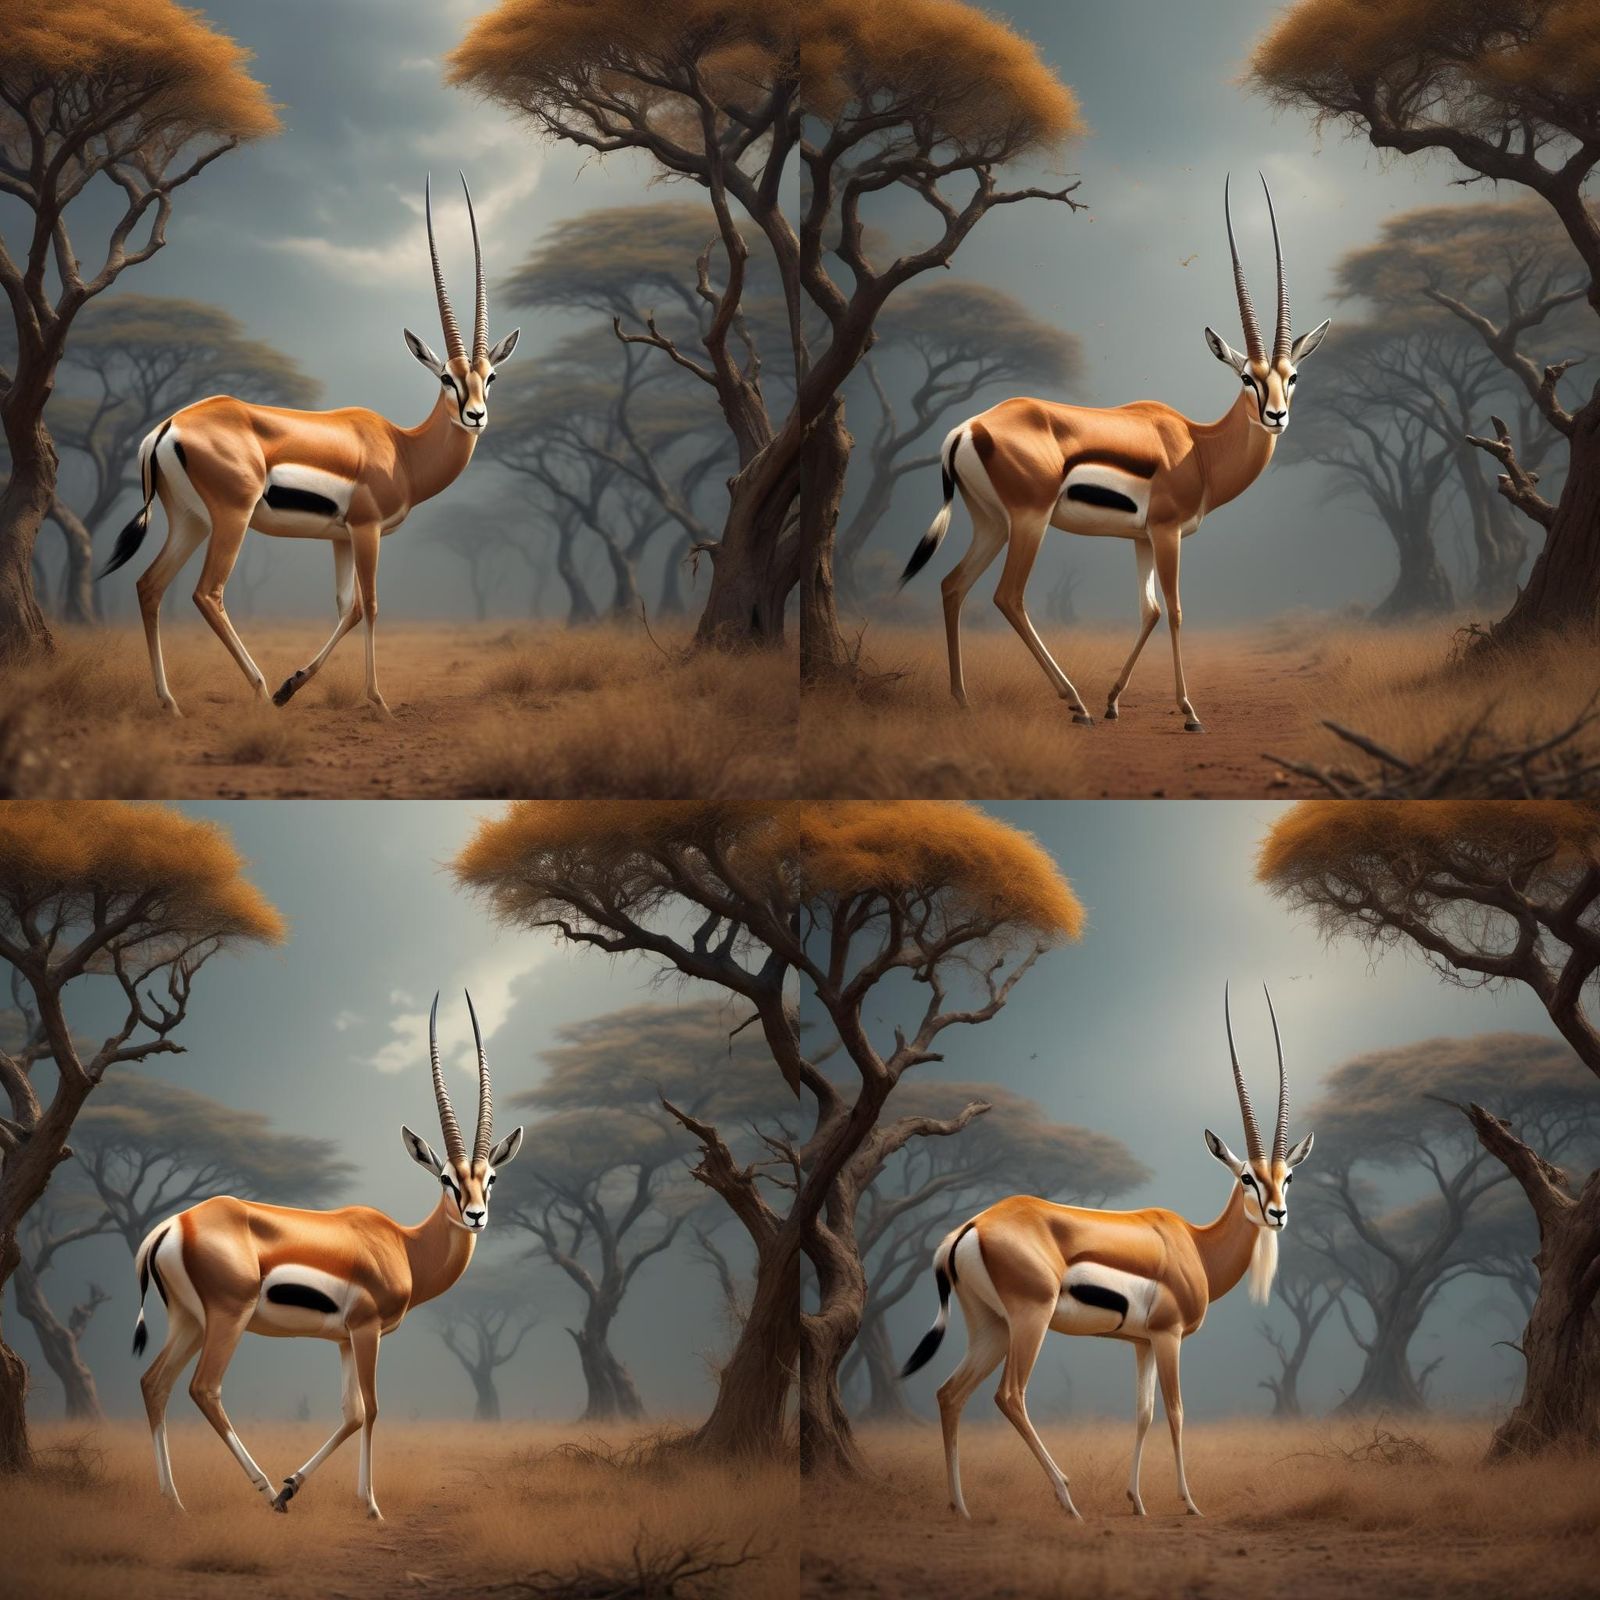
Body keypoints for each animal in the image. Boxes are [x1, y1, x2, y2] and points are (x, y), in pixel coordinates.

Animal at [99, 176, 521, 717]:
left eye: (491, 377)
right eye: (447, 377)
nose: (476, 416)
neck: (402, 450)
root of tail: (169, 425)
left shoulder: (339, 538)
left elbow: (348, 609)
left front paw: (293, 685)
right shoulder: (366, 531)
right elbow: (371, 605)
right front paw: (376, 700)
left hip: (190, 521)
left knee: (149, 586)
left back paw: (171, 702)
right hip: (231, 520)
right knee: (207, 593)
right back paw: (257, 689)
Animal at [129, 993, 523, 1519]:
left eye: (490, 1178)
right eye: (446, 1178)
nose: (476, 1215)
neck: (404, 1244)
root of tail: (175, 1224)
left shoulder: (342, 1339)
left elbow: (351, 1413)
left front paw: (296, 1485)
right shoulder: (367, 1330)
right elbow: (372, 1409)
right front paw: (371, 1506)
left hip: (190, 1322)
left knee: (154, 1384)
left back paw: (175, 1502)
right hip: (227, 1319)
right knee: (203, 1388)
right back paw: (262, 1493)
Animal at [900, 175, 1330, 733]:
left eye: (1291, 376)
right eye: (1246, 378)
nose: (1276, 416)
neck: (1197, 446)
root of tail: (966, 428)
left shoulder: (1141, 539)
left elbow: (1148, 610)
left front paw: (1114, 702)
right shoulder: (1167, 534)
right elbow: (1174, 609)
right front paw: (1189, 713)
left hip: (991, 523)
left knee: (953, 586)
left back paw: (965, 699)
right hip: (1028, 522)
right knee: (1007, 596)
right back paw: (1073, 703)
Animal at [901, 985, 1314, 1520]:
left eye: (1288, 1177)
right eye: (1247, 1177)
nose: (1277, 1214)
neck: (1195, 1245)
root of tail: (972, 1226)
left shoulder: (1141, 1343)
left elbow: (1143, 1414)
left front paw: (1137, 1501)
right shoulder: (1168, 1337)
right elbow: (1176, 1412)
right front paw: (1189, 1502)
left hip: (991, 1327)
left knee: (949, 1394)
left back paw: (962, 1508)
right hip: (1030, 1320)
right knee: (1009, 1395)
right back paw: (1067, 1499)